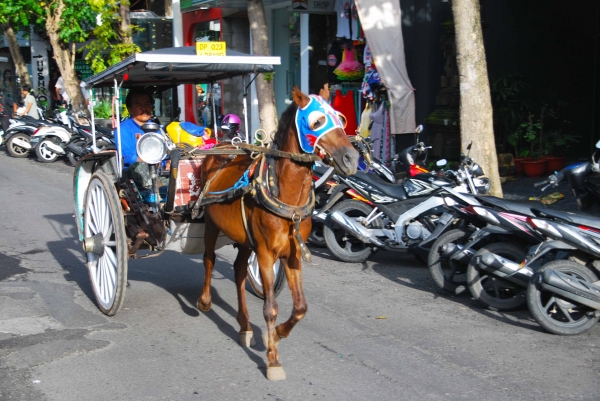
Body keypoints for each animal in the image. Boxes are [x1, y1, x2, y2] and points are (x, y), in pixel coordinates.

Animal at [198, 86, 356, 380]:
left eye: (341, 118)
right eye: (317, 121)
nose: (351, 159)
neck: (284, 192)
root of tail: (221, 147)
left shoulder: (292, 254)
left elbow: (301, 307)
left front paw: (281, 333)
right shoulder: (265, 253)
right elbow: (270, 308)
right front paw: (273, 359)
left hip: (244, 239)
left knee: (238, 270)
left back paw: (244, 325)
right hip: (212, 224)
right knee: (209, 259)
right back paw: (204, 301)